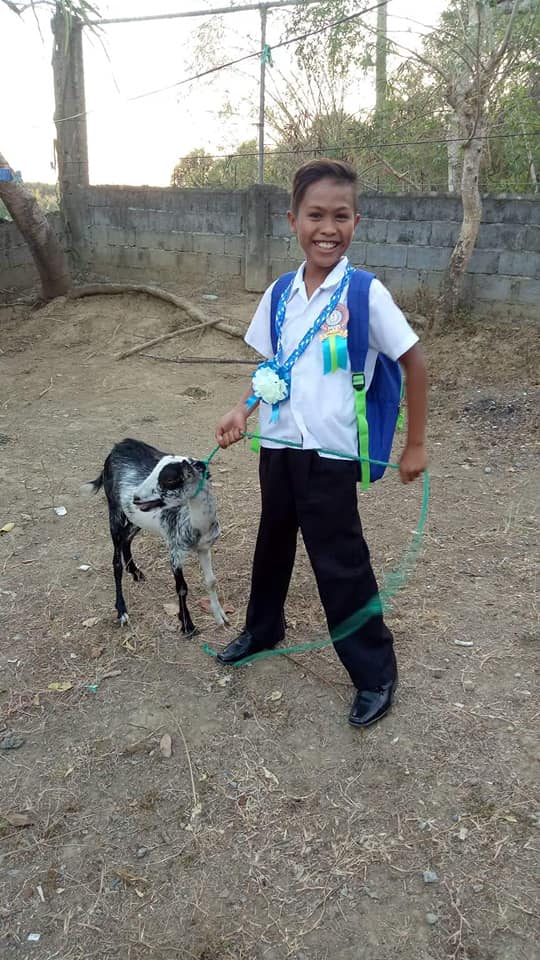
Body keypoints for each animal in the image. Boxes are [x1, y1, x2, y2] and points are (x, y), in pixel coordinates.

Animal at [82, 438, 228, 632]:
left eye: (169, 479)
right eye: (153, 471)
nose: (136, 497)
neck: (197, 525)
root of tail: (118, 446)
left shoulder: (204, 547)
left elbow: (211, 581)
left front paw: (221, 617)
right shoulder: (175, 550)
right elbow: (182, 587)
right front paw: (187, 625)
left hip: (135, 518)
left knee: (126, 539)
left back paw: (135, 572)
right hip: (114, 510)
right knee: (116, 561)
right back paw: (122, 611)